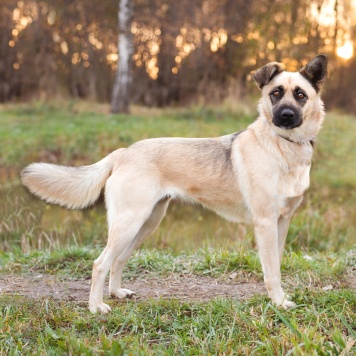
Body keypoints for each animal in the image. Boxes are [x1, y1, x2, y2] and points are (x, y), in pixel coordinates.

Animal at [21, 54, 328, 312]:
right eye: (275, 93)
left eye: (300, 95)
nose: (286, 116)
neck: (284, 147)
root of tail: (122, 153)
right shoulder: (265, 223)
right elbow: (272, 271)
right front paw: (279, 303)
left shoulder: (282, 221)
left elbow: (276, 264)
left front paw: (279, 298)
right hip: (128, 223)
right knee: (99, 263)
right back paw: (96, 307)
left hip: (146, 224)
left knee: (117, 260)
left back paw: (117, 293)